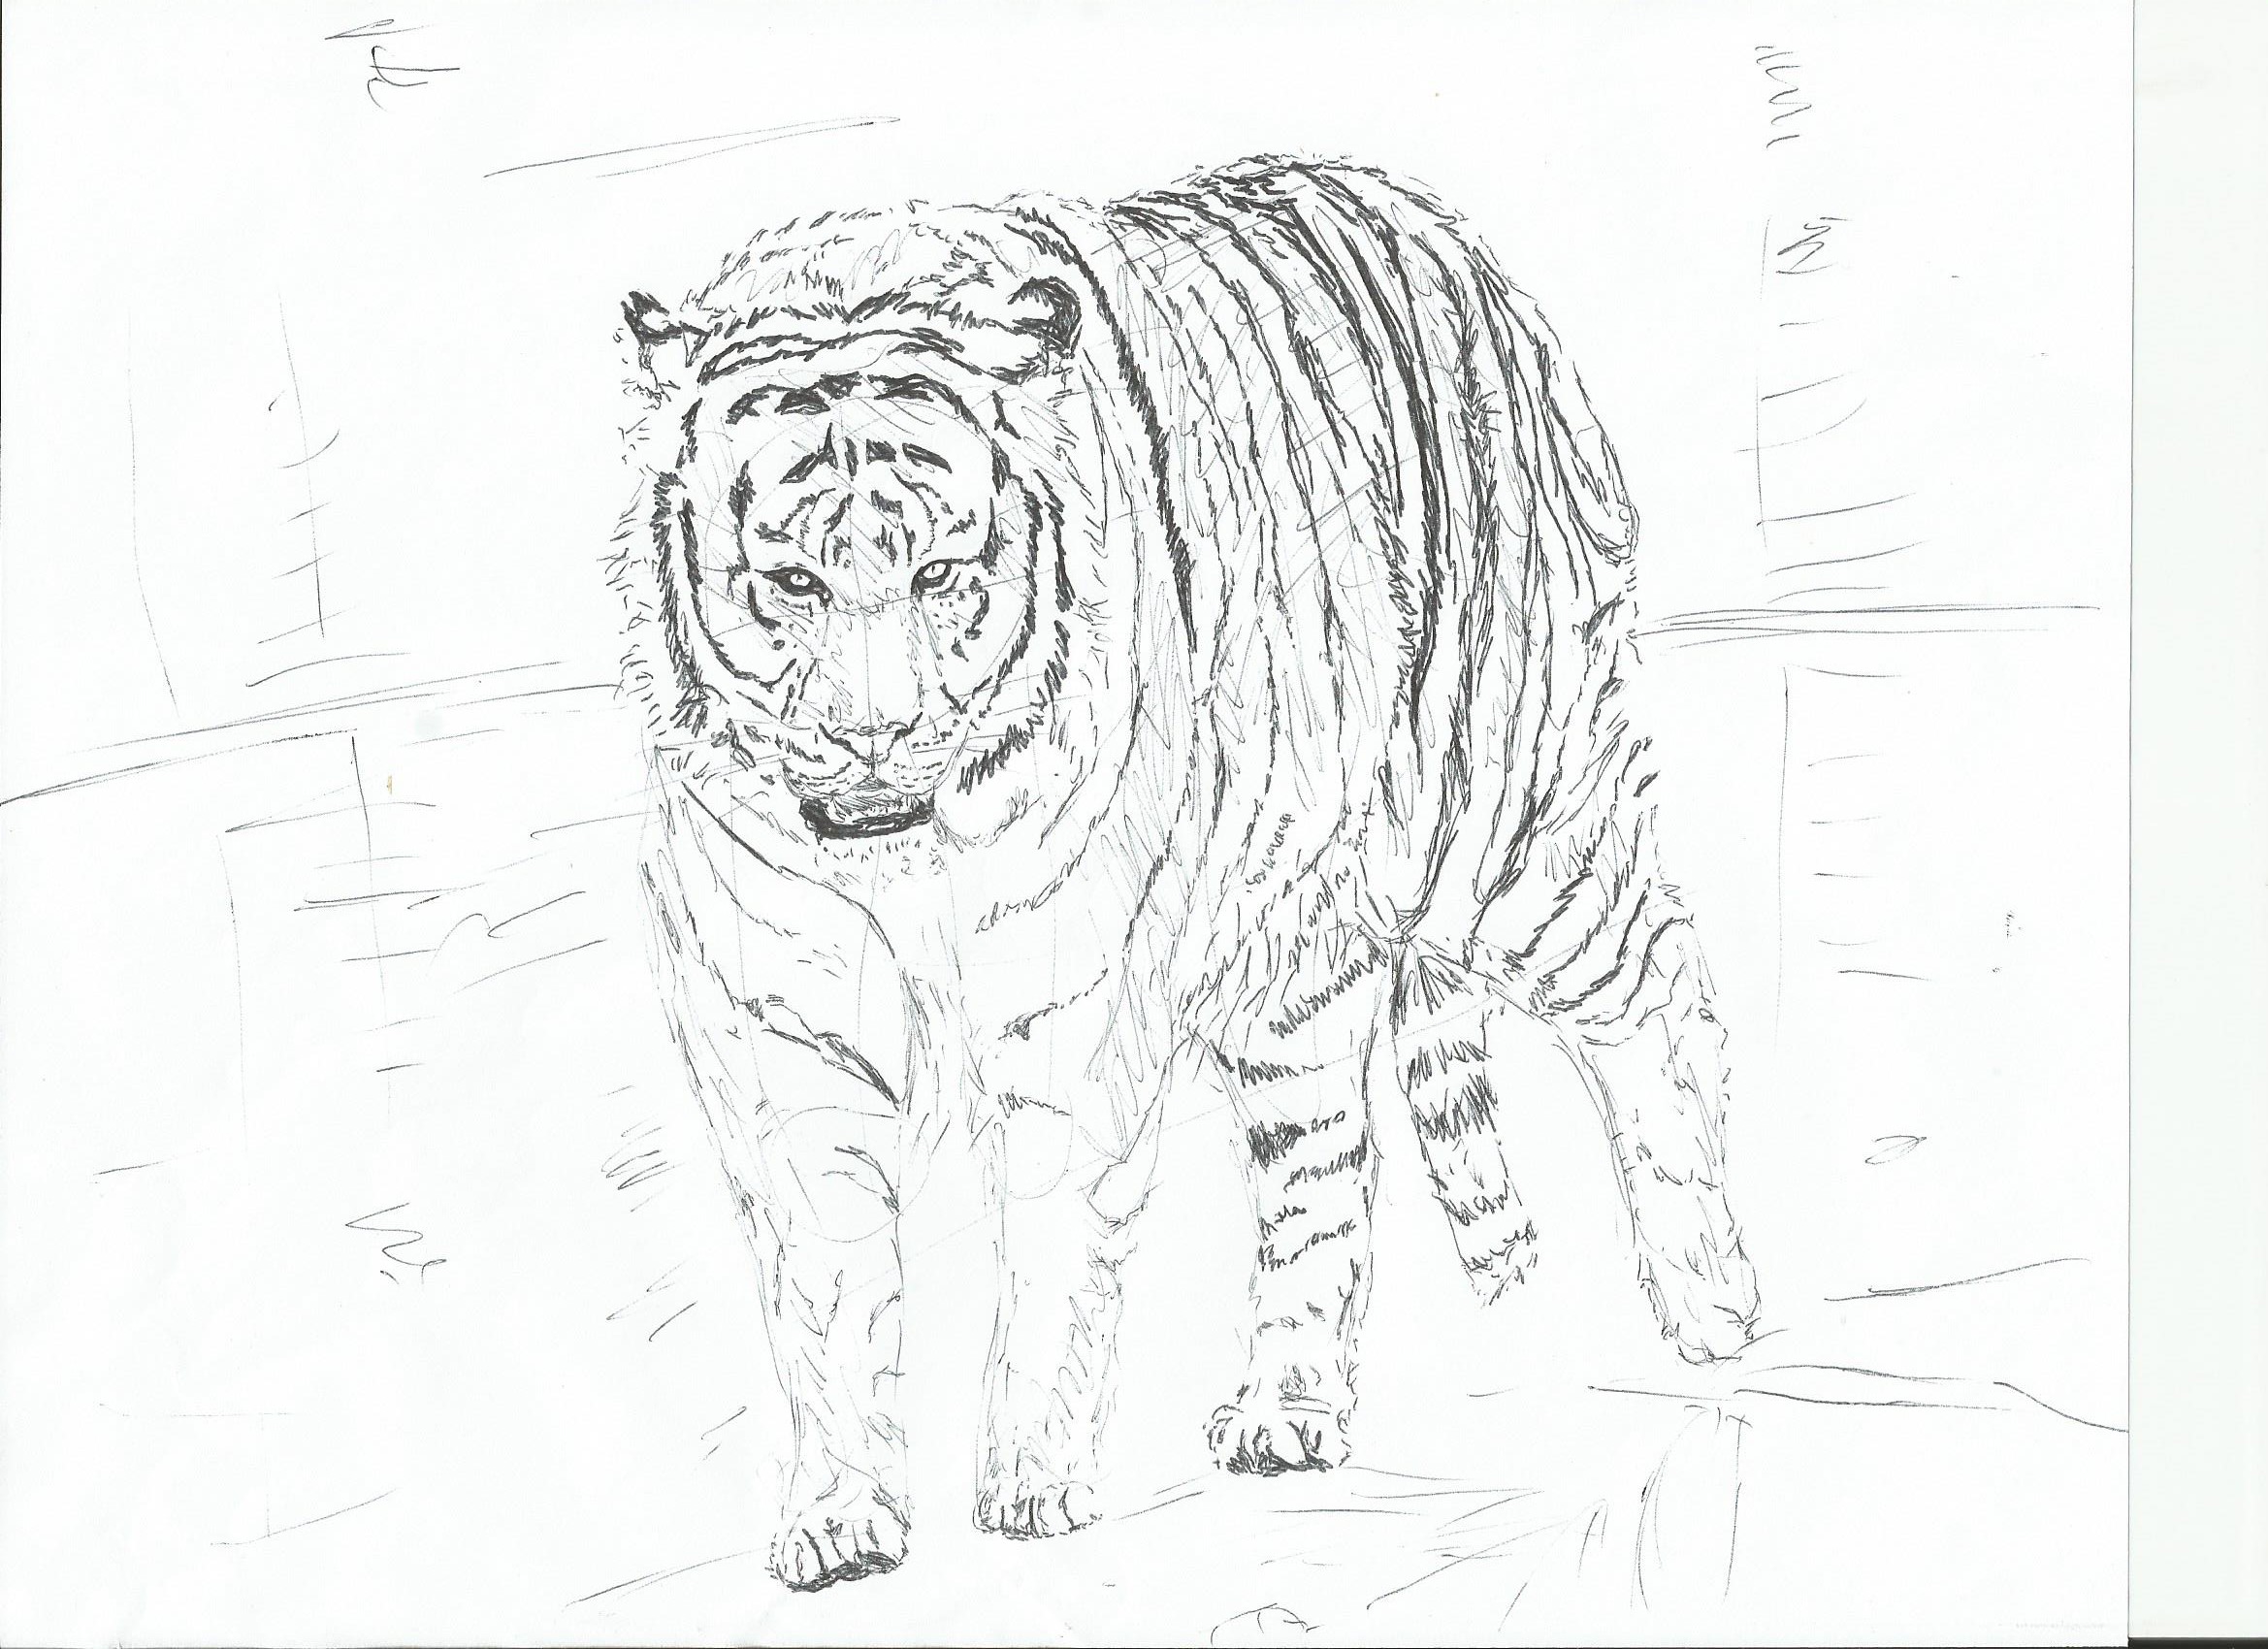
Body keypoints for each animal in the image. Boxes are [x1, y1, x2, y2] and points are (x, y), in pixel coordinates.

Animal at [611, 155, 1762, 1593]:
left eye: (939, 572)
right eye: (790, 583)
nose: (874, 734)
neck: (900, 850)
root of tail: (1438, 225)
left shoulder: (1064, 1004)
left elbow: (1048, 1256)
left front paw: (1028, 1487)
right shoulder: (777, 1017)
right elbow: (825, 1277)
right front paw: (838, 1518)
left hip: (1521, 829)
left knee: (1665, 997)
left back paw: (1713, 1306)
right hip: (1300, 957)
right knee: (1324, 1160)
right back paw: (1286, 1411)